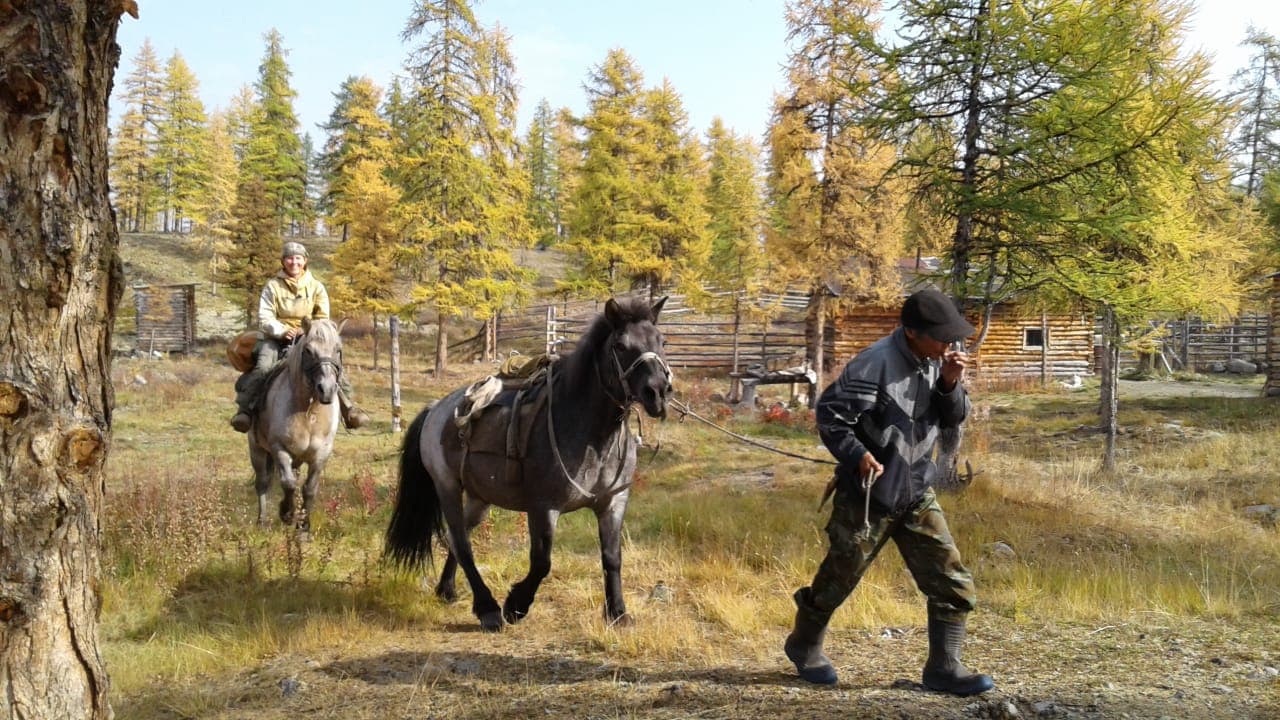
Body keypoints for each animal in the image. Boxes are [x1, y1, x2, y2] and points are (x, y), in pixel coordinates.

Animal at [245, 316, 343, 530]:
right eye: (308, 350)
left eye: (338, 349)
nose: (327, 390)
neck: (309, 413)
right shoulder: (279, 448)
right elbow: (288, 483)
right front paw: (287, 513)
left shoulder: (321, 454)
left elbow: (309, 488)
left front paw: (303, 524)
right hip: (257, 449)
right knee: (262, 482)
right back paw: (262, 520)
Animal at [384, 295, 675, 627]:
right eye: (620, 345)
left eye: (662, 341)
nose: (658, 392)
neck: (589, 432)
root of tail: (435, 409)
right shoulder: (543, 507)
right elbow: (541, 562)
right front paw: (515, 605)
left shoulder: (613, 502)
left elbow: (612, 557)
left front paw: (617, 613)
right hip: (447, 487)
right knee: (461, 542)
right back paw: (487, 608)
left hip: (480, 497)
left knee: (459, 539)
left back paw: (447, 590)